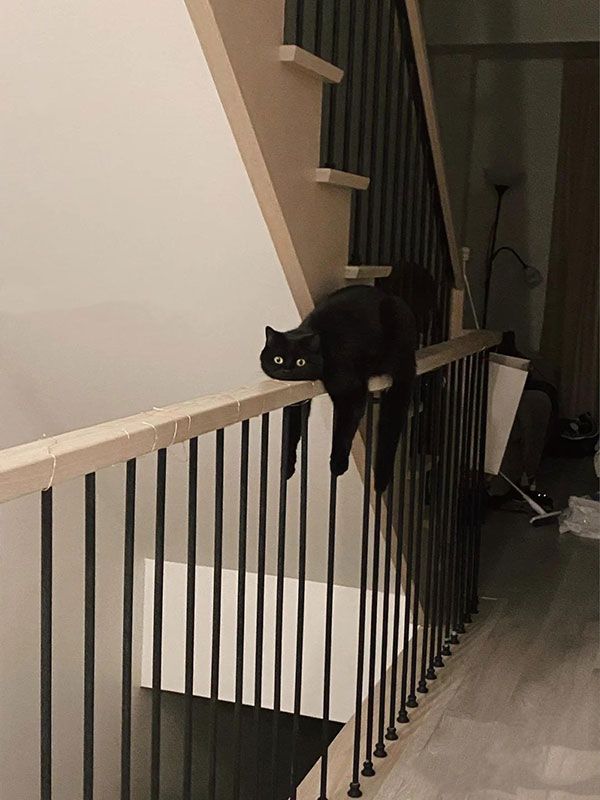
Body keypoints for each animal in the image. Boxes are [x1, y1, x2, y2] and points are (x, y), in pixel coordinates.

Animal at [260, 284, 414, 490]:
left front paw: (338, 465)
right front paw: (287, 468)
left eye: (301, 362)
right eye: (278, 359)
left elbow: (343, 431)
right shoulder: (296, 403)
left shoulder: (352, 394)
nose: (287, 369)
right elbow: (292, 435)